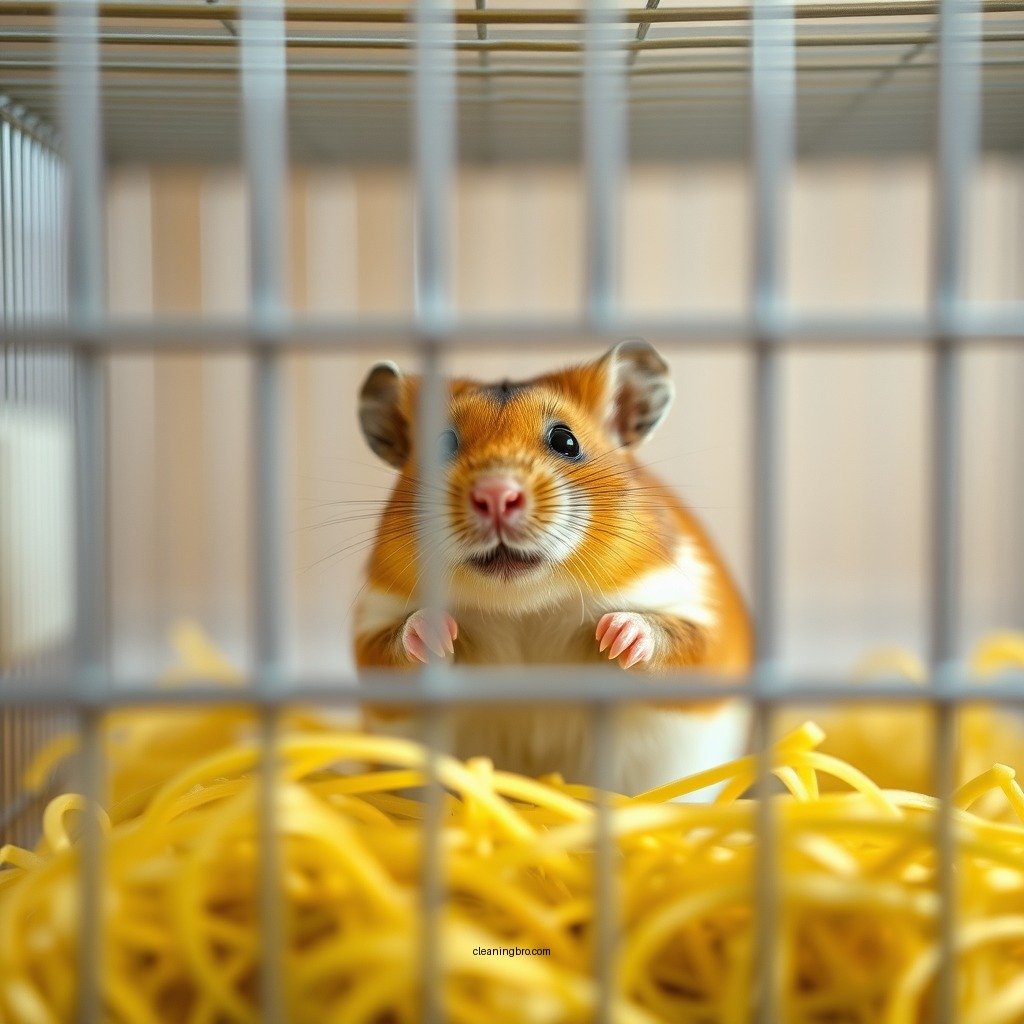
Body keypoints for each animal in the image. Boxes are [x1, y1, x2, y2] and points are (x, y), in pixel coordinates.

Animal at [353, 340, 753, 796]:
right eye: (442, 444)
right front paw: (439, 630)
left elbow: (677, 638)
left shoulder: (699, 610)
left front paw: (615, 634)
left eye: (566, 440)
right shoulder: (375, 621)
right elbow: (394, 643)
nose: (496, 495)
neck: (526, 609)